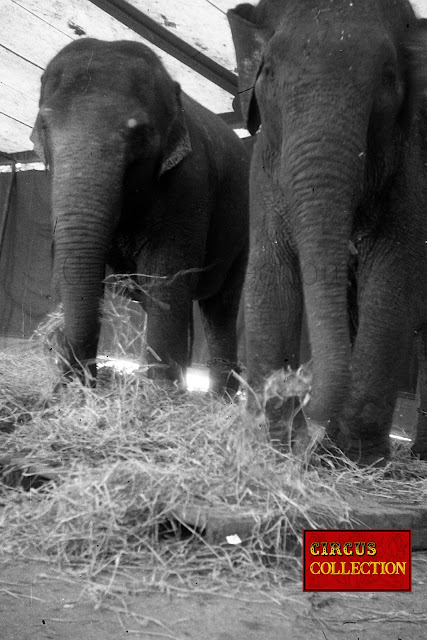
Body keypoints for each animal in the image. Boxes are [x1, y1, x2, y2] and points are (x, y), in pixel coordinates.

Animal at [32, 38, 251, 396]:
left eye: (140, 133)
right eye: (44, 126)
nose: (77, 381)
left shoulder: (189, 183)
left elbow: (166, 275)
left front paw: (157, 398)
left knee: (220, 305)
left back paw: (219, 398)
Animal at [229, 0, 427, 462]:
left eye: (388, 77)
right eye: (268, 72)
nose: (299, 396)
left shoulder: (411, 169)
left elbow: (391, 283)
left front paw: (355, 459)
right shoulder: (263, 171)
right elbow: (270, 275)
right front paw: (269, 442)